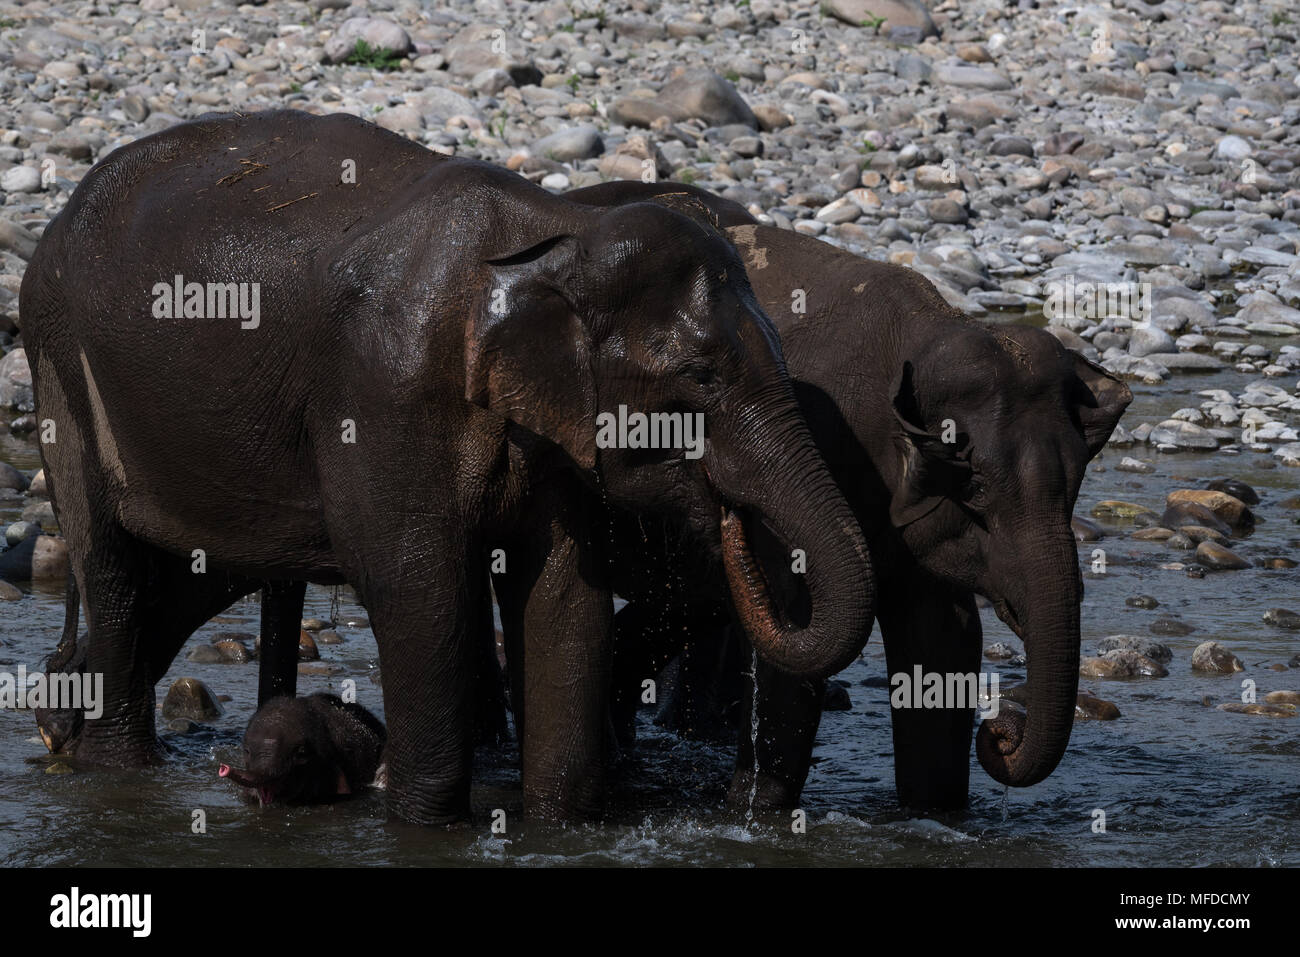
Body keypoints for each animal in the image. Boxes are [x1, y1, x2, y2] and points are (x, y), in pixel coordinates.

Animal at [17, 111, 873, 821]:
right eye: (702, 377)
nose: (728, 512)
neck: (557, 234)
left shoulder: (548, 427)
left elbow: (565, 594)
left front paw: (560, 824)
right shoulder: (385, 389)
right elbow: (416, 584)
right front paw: (426, 822)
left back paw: (72, 725)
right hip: (60, 362)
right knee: (112, 566)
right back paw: (115, 770)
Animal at [566, 183, 1128, 811]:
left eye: (1077, 482)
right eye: (976, 485)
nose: (1000, 732)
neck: (921, 335)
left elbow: (944, 641)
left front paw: (935, 815)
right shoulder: (814, 451)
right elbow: (800, 623)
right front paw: (756, 814)